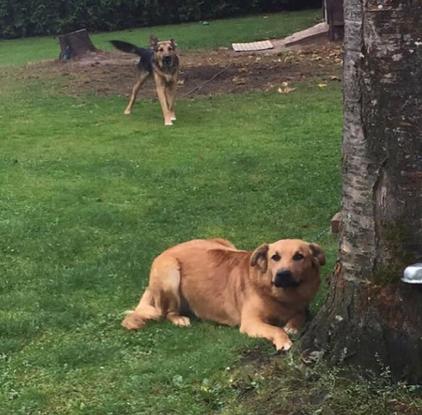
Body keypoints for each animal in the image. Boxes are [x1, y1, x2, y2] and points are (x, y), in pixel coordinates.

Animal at [122, 239, 326, 352]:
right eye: (275, 257)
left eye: (299, 256)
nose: (283, 274)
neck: (282, 297)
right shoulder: (250, 323)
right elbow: (276, 329)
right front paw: (283, 340)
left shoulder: (302, 307)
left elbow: (299, 316)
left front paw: (292, 326)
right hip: (170, 274)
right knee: (167, 312)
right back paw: (179, 318)